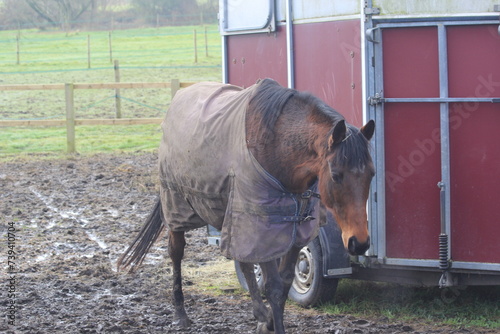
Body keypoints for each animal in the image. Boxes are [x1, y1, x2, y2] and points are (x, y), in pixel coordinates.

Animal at [118, 79, 376, 334]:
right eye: (336, 175)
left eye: (372, 174)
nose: (359, 242)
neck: (277, 149)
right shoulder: (261, 224)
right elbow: (273, 286)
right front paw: (274, 324)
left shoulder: (295, 230)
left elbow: (283, 283)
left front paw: (268, 320)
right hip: (177, 207)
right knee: (176, 252)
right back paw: (180, 314)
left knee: (243, 260)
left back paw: (261, 315)